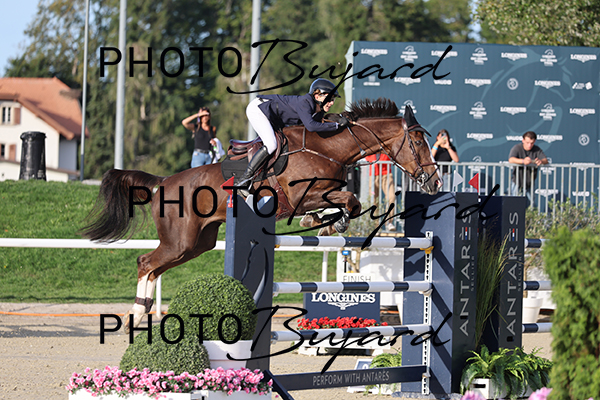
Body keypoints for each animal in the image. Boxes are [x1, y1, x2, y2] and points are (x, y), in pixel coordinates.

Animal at [81, 98, 442, 331]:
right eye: (418, 141)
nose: (435, 181)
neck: (328, 148)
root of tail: (165, 181)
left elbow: (344, 203)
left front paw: (328, 222)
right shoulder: (299, 196)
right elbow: (346, 199)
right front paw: (323, 222)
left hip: (196, 244)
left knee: (154, 267)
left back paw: (140, 314)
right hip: (179, 241)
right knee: (146, 262)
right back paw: (135, 314)